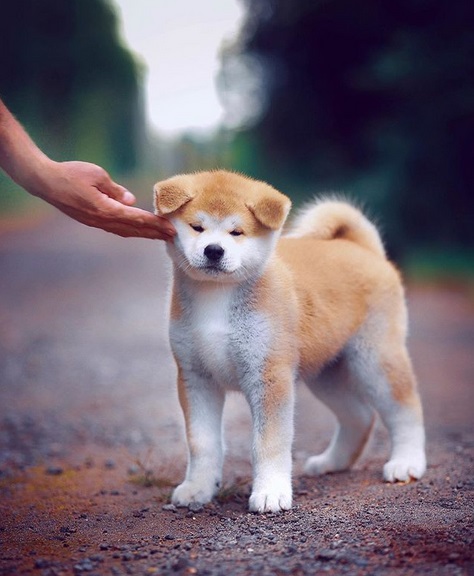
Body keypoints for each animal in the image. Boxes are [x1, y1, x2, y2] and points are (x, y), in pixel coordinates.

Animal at [154, 168, 428, 512]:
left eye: (237, 232)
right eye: (197, 227)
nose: (214, 250)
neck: (216, 296)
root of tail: (363, 249)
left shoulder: (269, 376)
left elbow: (268, 444)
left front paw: (270, 492)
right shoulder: (196, 377)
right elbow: (202, 443)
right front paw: (198, 488)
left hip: (375, 360)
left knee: (405, 409)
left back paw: (407, 462)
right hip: (327, 374)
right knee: (361, 416)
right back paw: (332, 462)